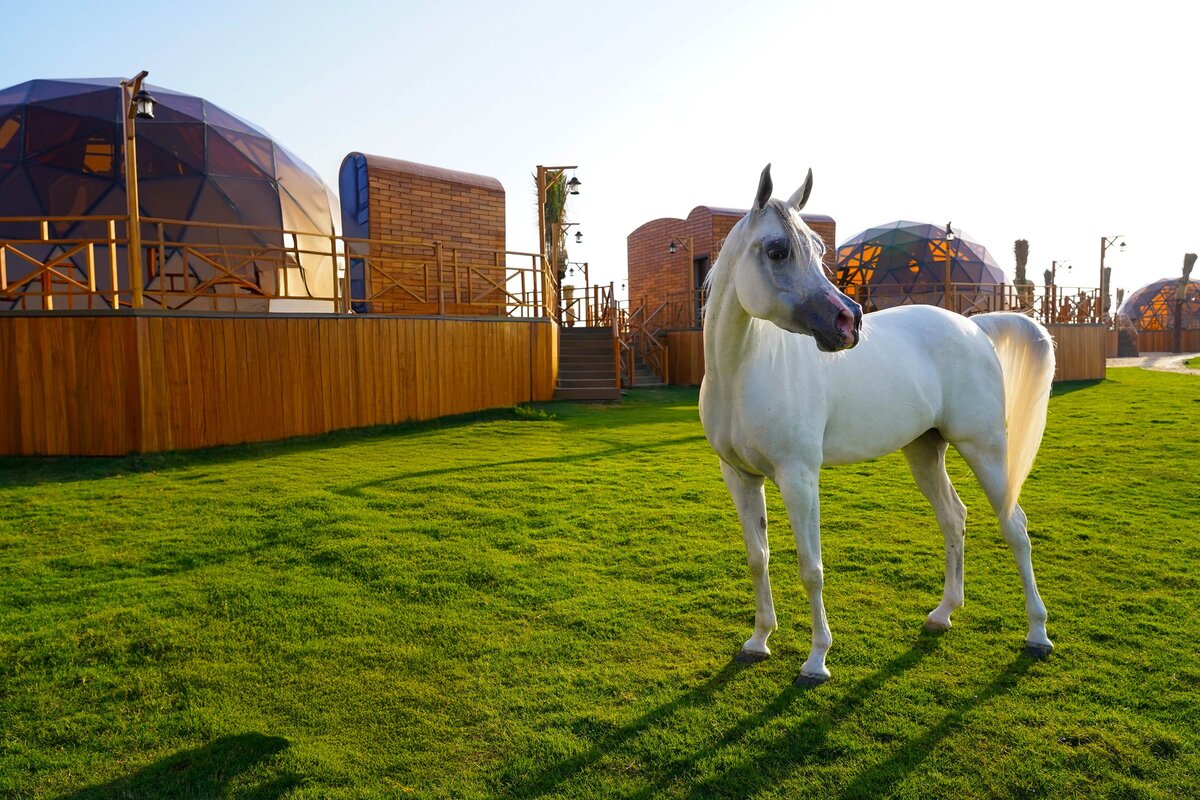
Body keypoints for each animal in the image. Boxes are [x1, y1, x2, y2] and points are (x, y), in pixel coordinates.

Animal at [700, 165, 1056, 686]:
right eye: (777, 250)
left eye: (819, 249)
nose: (848, 321)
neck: (742, 371)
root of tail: (975, 327)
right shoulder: (740, 477)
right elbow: (757, 557)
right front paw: (759, 640)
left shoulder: (798, 476)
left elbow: (811, 567)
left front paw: (817, 659)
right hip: (925, 450)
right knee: (954, 517)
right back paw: (943, 613)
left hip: (985, 448)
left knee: (1015, 526)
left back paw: (1037, 633)